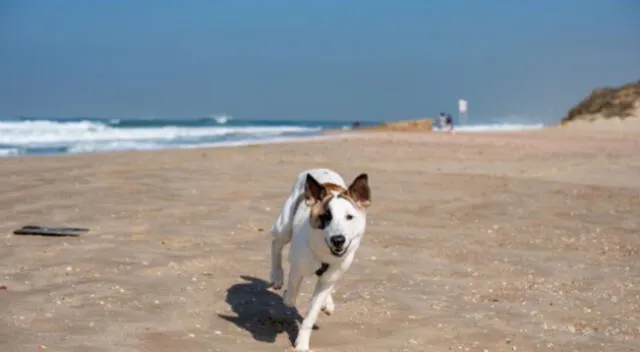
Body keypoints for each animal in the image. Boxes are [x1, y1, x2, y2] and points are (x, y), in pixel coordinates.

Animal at [268, 168, 370, 352]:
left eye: (349, 217)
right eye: (326, 217)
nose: (338, 240)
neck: (324, 254)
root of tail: (319, 169)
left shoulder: (332, 273)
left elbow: (311, 313)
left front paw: (302, 343)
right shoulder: (297, 268)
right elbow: (291, 296)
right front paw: (286, 296)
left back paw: (327, 303)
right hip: (284, 227)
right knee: (276, 243)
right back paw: (277, 276)